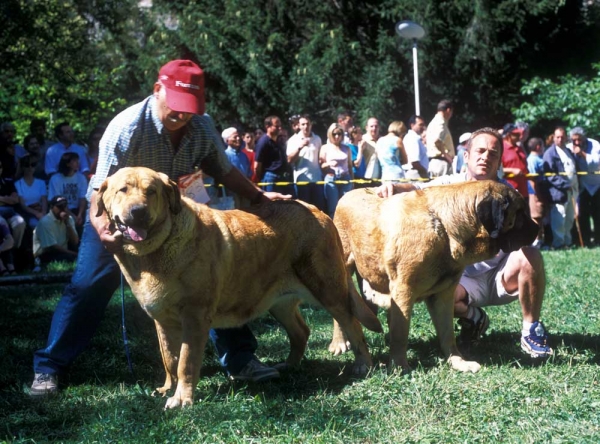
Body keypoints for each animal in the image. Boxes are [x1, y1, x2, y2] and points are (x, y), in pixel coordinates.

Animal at [96, 166, 382, 410]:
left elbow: (186, 361)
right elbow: (169, 359)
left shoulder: (194, 317)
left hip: (328, 289)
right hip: (279, 303)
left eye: (151, 191)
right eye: (122, 190)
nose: (138, 211)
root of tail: (319, 211)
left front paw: (182, 399)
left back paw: (362, 365)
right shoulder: (162, 320)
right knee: (301, 331)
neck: (154, 251)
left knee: (352, 323)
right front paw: (168, 388)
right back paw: (289, 365)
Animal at [328, 180, 540, 372]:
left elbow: (447, 334)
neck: (445, 230)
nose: (539, 228)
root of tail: (348, 193)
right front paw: (399, 366)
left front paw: (458, 362)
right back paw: (340, 343)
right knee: (341, 313)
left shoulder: (444, 295)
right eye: (520, 213)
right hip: (341, 269)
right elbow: (401, 332)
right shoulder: (404, 291)